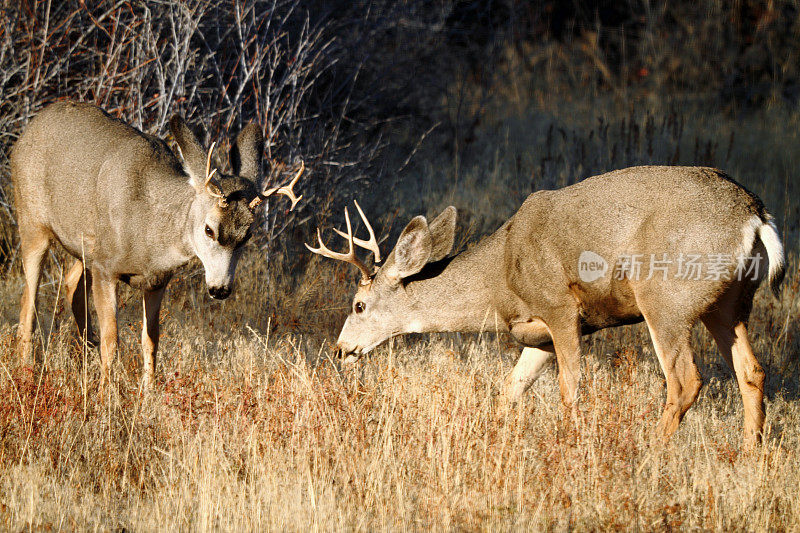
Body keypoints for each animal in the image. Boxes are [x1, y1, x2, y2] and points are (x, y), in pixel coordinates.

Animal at [13, 101, 304, 386]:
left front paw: (149, 389)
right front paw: (107, 392)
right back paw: (28, 370)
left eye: (248, 235)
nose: (220, 289)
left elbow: (151, 340)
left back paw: (85, 352)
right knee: (29, 301)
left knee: (71, 283)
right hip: (32, 223)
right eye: (208, 229)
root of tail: (26, 132)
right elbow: (112, 341)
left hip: (84, 246)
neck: (150, 236)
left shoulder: (157, 280)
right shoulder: (106, 267)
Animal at [308, 167, 788, 444]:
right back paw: (752, 452)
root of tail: (755, 216)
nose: (340, 349)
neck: (500, 283)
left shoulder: (561, 308)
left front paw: (570, 443)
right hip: (728, 303)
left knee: (686, 380)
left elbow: (569, 388)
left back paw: (651, 450)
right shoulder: (535, 335)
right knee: (752, 371)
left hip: (665, 297)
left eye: (359, 306)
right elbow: (509, 389)